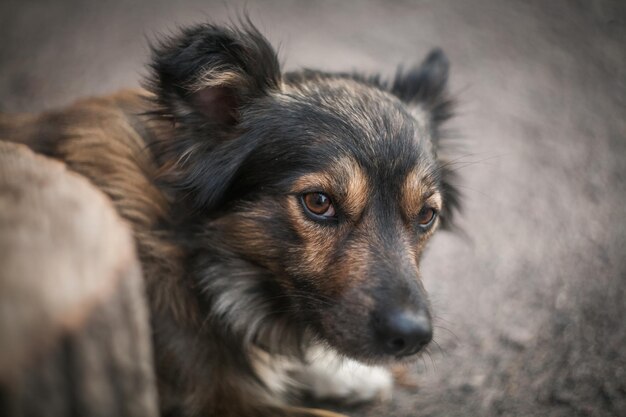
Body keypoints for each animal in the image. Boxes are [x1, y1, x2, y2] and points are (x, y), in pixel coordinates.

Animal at [0, 22, 458, 416]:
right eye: (319, 202)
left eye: (426, 215)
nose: (411, 336)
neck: (202, 267)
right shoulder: (217, 400)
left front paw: (347, 375)